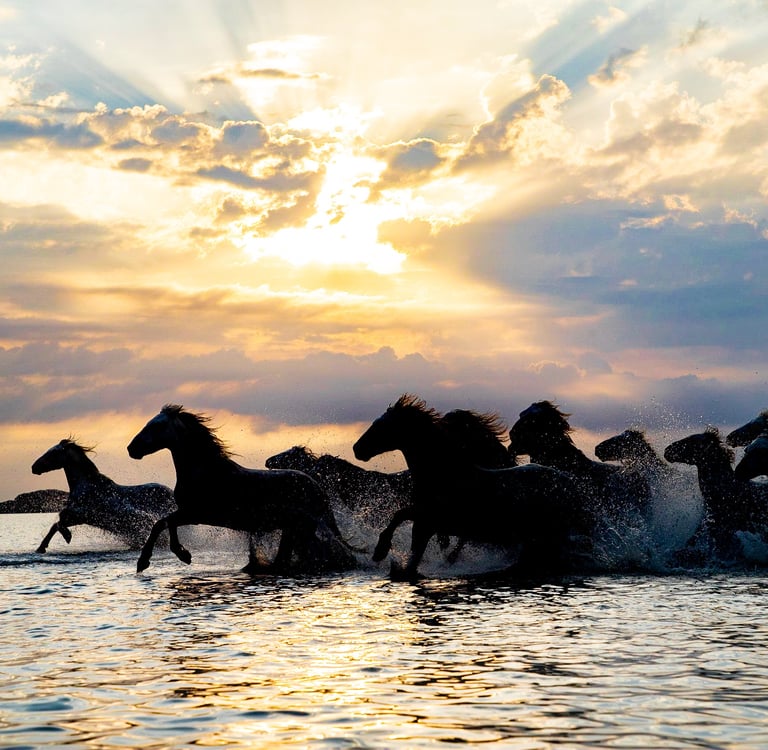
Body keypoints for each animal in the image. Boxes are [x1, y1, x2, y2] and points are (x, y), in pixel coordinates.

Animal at [32, 438, 176, 553]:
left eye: (53, 453)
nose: (34, 467)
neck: (86, 484)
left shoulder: (81, 514)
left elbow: (59, 522)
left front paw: (65, 537)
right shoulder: (80, 518)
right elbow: (56, 524)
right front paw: (41, 548)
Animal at [127, 404, 359, 574]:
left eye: (157, 427)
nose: (131, 449)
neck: (204, 472)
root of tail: (318, 489)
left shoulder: (196, 513)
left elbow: (162, 523)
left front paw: (150, 561)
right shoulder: (189, 513)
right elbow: (167, 523)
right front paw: (181, 555)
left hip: (302, 528)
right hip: (291, 528)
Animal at [352, 394, 592, 580]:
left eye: (381, 426)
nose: (357, 449)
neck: (444, 475)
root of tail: (569, 483)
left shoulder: (432, 519)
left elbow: (401, 518)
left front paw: (380, 551)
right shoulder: (425, 524)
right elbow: (407, 538)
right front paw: (383, 555)